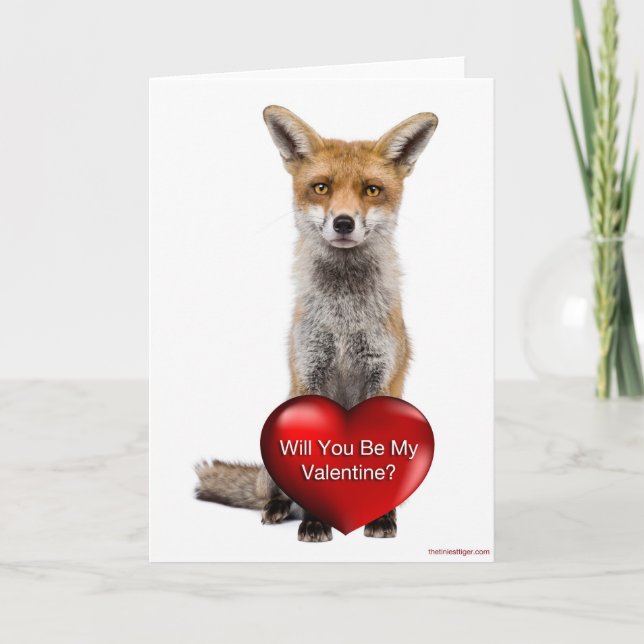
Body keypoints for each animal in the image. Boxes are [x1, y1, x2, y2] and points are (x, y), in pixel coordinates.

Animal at [195, 105, 438, 542]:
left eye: (371, 190)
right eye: (321, 188)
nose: (343, 222)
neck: (344, 319)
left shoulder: (380, 374)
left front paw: (379, 518)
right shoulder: (311, 369)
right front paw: (315, 522)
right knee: (274, 493)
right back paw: (276, 509)